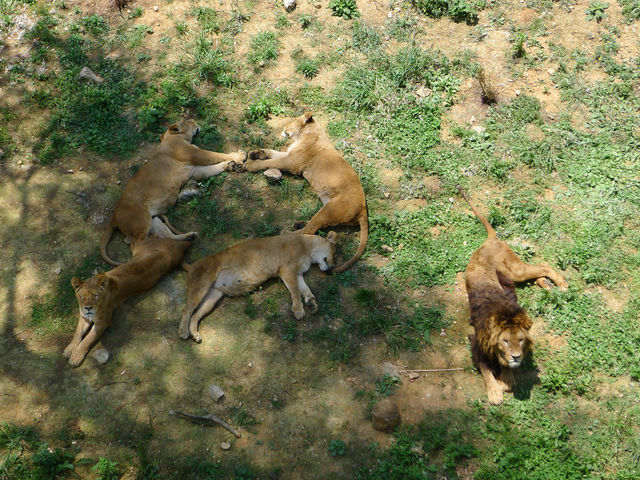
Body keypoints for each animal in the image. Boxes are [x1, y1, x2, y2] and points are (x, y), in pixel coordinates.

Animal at [66, 236, 195, 368]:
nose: (88, 308)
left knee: (137, 241)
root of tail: (177, 248)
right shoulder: (84, 317)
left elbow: (88, 340)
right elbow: (77, 333)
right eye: (82, 296)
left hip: (141, 246)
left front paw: (76, 356)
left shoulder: (103, 322)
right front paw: (69, 349)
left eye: (95, 296)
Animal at [100, 117, 245, 264]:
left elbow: (214, 167)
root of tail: (114, 216)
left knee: (165, 235)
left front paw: (232, 166)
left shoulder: (196, 171)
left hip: (154, 220)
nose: (192, 119)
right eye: (187, 120)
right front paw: (239, 156)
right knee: (133, 244)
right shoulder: (197, 155)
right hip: (142, 220)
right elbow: (216, 155)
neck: (175, 138)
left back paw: (189, 236)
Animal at [175, 232, 336, 342]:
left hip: (213, 296)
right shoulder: (287, 270)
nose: (331, 269)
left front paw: (312, 303)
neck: (307, 248)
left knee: (196, 314)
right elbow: (296, 292)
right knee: (186, 309)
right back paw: (183, 332)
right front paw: (298, 310)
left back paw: (195, 335)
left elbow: (306, 289)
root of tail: (191, 265)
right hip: (201, 286)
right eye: (334, 254)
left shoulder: (298, 274)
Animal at [239, 110, 370, 272]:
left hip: (331, 208)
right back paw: (298, 224)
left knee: (309, 230)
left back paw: (287, 233)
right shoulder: (290, 155)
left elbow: (271, 162)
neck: (307, 133)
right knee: (315, 225)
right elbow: (273, 153)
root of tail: (363, 209)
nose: (284, 128)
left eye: (292, 120)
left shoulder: (292, 162)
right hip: (327, 206)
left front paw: (251, 164)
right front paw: (257, 153)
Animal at [458, 186, 568, 404]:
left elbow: (507, 369)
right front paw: (494, 393)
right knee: (539, 271)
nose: (517, 356)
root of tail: (489, 241)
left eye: (521, 340)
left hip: (515, 271)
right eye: (505, 341)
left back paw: (559, 283)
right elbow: (486, 370)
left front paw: (505, 381)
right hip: (513, 274)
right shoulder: (475, 343)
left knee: (544, 266)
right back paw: (546, 285)